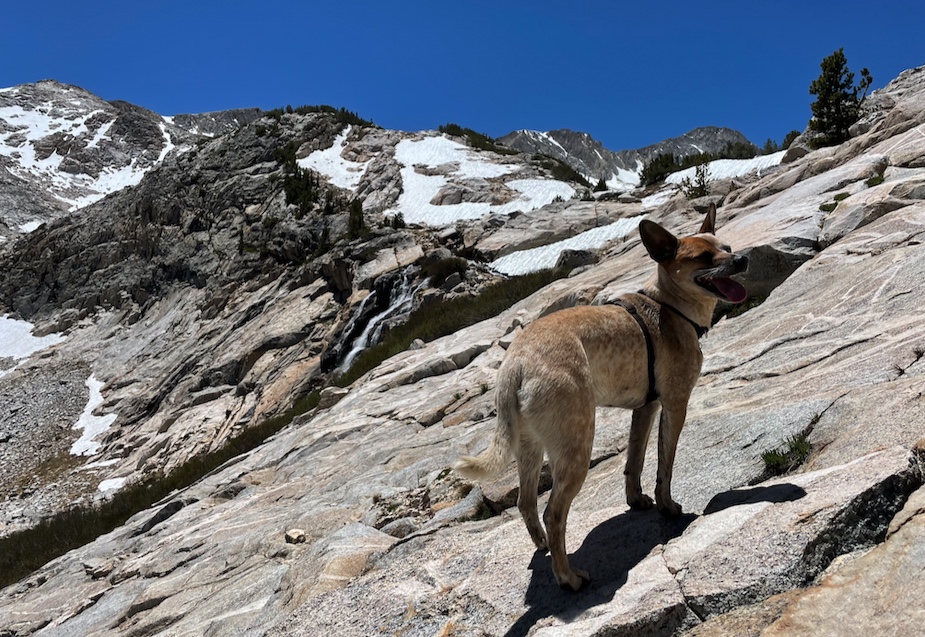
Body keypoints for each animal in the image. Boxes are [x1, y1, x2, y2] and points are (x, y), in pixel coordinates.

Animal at [454, 206, 752, 588]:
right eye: (703, 257)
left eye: (726, 247)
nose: (742, 259)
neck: (671, 307)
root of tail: (516, 364)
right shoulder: (675, 404)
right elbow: (665, 466)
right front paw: (667, 507)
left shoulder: (645, 408)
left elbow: (634, 462)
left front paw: (637, 500)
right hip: (576, 446)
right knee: (553, 513)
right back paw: (568, 577)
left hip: (530, 447)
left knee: (525, 502)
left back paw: (543, 547)